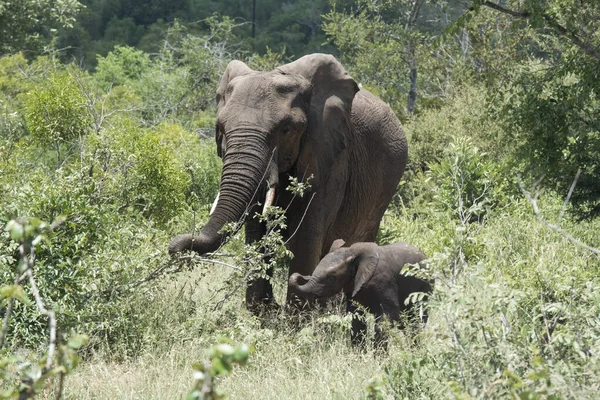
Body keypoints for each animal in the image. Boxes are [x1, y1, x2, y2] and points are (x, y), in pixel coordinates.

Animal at [169, 53, 408, 314]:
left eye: (286, 130)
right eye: (221, 129)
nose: (174, 248)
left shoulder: (331, 157)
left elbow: (307, 234)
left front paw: (297, 317)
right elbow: (256, 229)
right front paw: (265, 312)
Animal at [288, 239, 432, 346]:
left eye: (331, 278)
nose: (300, 276)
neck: (351, 254)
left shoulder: (384, 282)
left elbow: (387, 317)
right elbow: (356, 318)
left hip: (425, 287)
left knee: (416, 320)